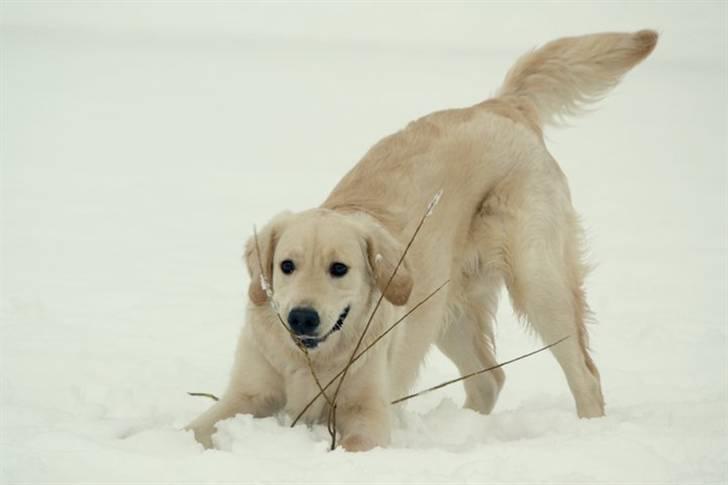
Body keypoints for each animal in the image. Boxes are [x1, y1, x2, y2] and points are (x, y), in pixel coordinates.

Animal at [188, 30, 660, 452]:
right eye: (286, 265)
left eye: (339, 269)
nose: (302, 317)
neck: (313, 359)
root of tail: (500, 105)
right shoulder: (246, 394)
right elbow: (196, 429)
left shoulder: (367, 410)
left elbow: (354, 443)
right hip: (444, 309)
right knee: (490, 378)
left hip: (538, 282)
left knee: (585, 374)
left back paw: (590, 435)